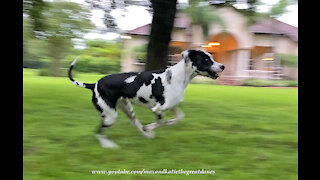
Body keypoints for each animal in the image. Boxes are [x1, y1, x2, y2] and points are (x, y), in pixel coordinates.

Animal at [68, 49, 225, 148]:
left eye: (211, 57)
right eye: (206, 60)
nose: (222, 66)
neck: (177, 77)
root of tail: (94, 84)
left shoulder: (173, 106)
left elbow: (179, 118)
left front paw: (162, 125)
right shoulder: (158, 108)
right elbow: (161, 121)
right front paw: (150, 127)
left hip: (127, 109)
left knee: (135, 124)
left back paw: (146, 135)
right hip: (110, 115)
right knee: (99, 132)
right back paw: (108, 145)